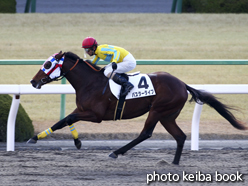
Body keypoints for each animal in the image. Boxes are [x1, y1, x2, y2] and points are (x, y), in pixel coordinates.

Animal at [28, 50, 247, 164]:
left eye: (47, 64)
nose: (32, 81)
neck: (90, 82)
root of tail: (182, 84)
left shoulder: (95, 114)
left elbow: (67, 119)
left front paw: (72, 141)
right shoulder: (83, 110)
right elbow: (64, 120)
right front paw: (39, 137)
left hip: (157, 110)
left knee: (145, 133)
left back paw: (116, 152)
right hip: (168, 116)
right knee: (180, 136)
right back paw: (174, 163)